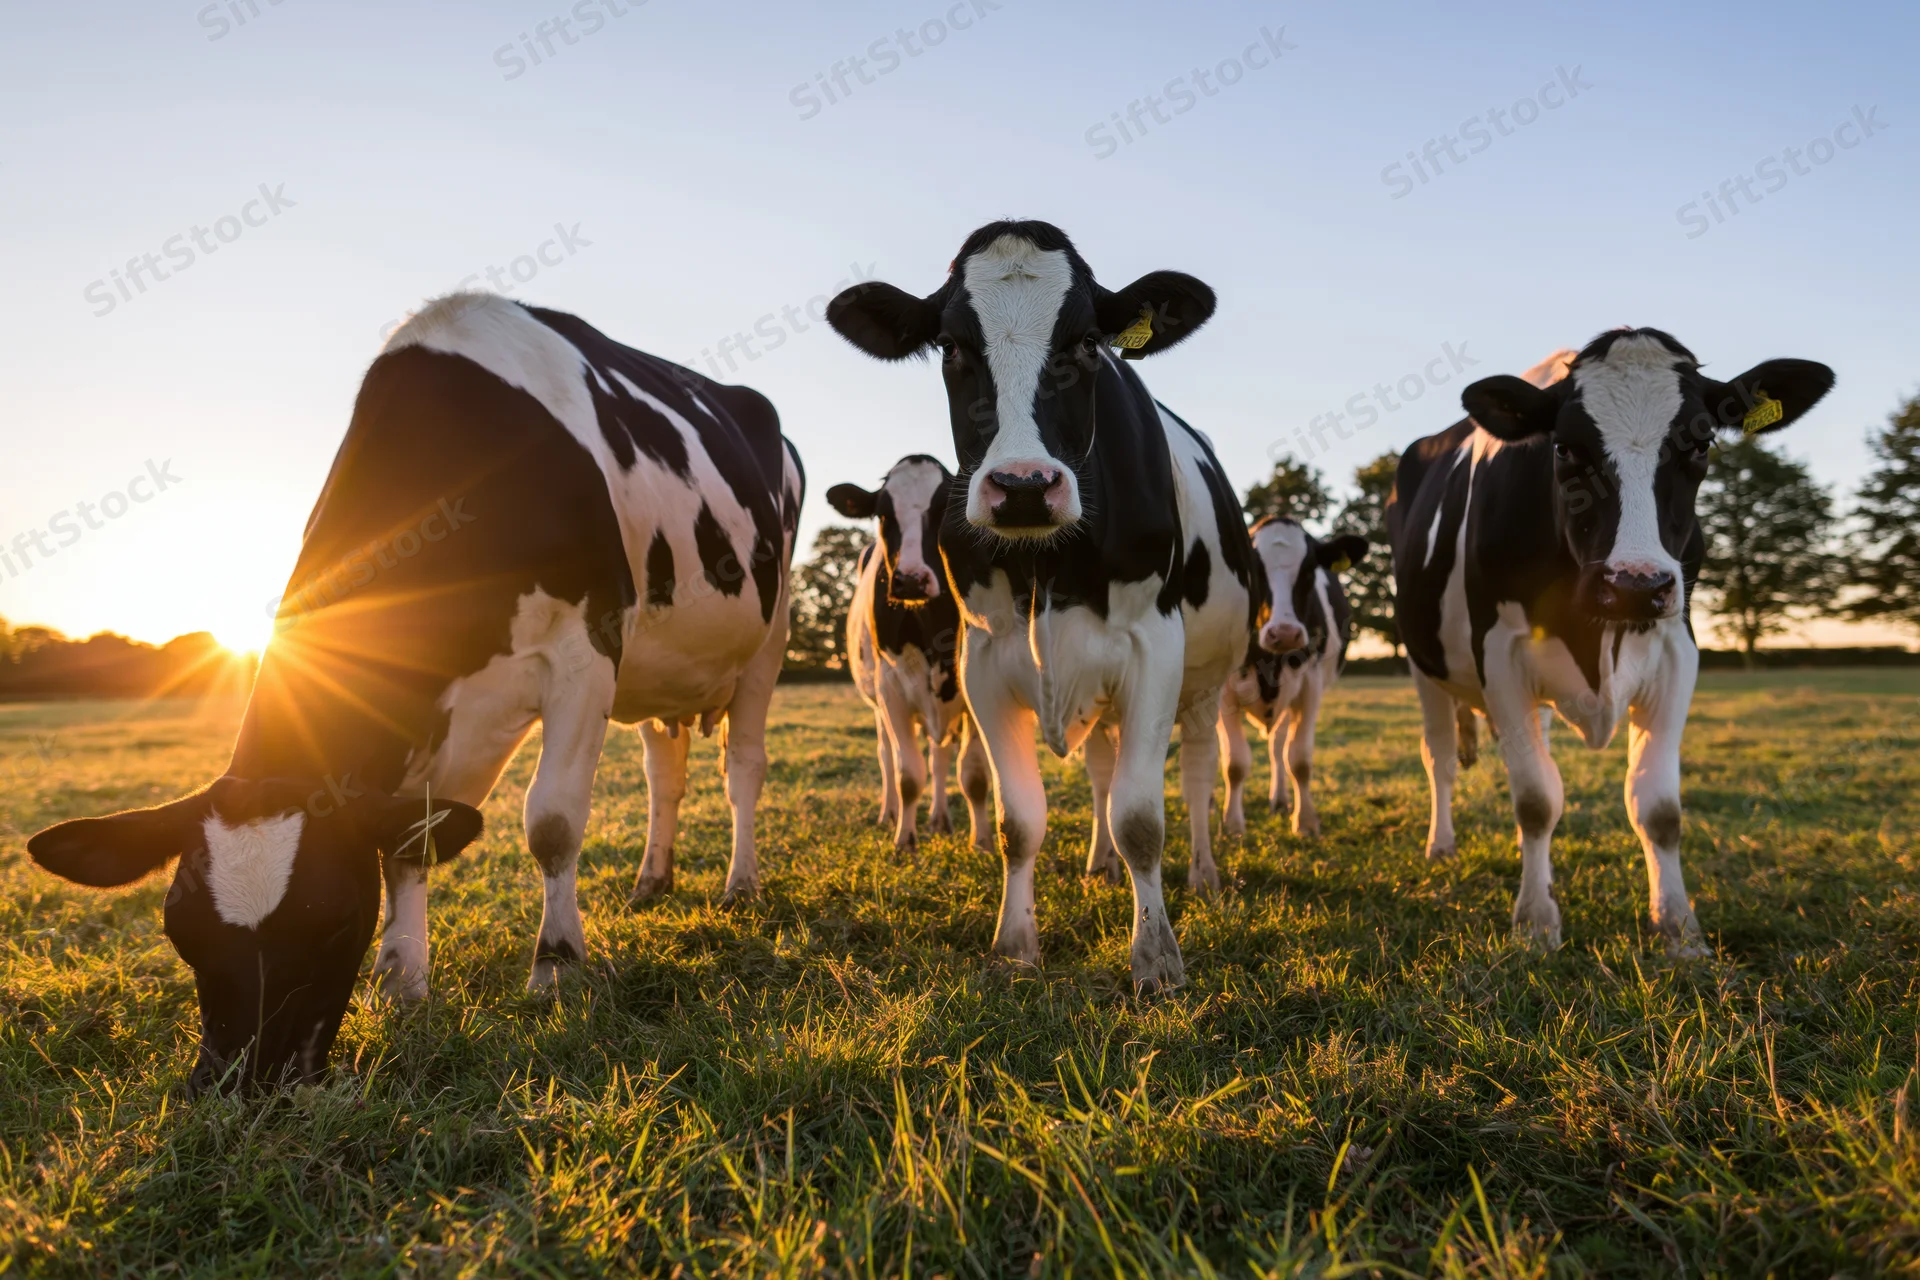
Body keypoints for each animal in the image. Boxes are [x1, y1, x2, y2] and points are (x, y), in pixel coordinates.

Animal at [26, 292, 803, 1090]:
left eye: (334, 920)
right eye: (180, 929)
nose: (244, 1085)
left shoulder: (587, 647)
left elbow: (552, 821)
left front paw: (556, 970)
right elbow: (408, 839)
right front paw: (402, 982)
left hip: (770, 638)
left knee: (743, 767)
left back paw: (740, 886)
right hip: (660, 667)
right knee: (663, 771)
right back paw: (652, 880)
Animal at [827, 455, 991, 852]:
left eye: (946, 509)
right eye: (883, 514)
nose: (912, 579)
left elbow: (974, 774)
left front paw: (982, 841)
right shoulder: (892, 691)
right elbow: (908, 774)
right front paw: (904, 839)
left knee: (940, 755)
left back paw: (940, 819)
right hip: (877, 703)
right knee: (887, 755)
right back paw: (889, 814)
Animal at [1218, 518, 1369, 838]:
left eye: (1310, 569)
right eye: (1253, 567)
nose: (1285, 633)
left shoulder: (1310, 687)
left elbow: (1298, 759)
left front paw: (1306, 821)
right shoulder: (1222, 693)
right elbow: (1234, 763)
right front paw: (1233, 824)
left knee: (1277, 746)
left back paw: (1279, 800)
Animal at [1387, 328, 1832, 956]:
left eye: (1701, 444)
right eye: (1563, 449)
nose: (1634, 584)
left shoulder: (1676, 649)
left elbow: (1658, 807)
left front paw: (1678, 928)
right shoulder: (1499, 652)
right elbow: (1535, 800)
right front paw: (1535, 922)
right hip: (1422, 662)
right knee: (1442, 758)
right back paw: (1442, 845)